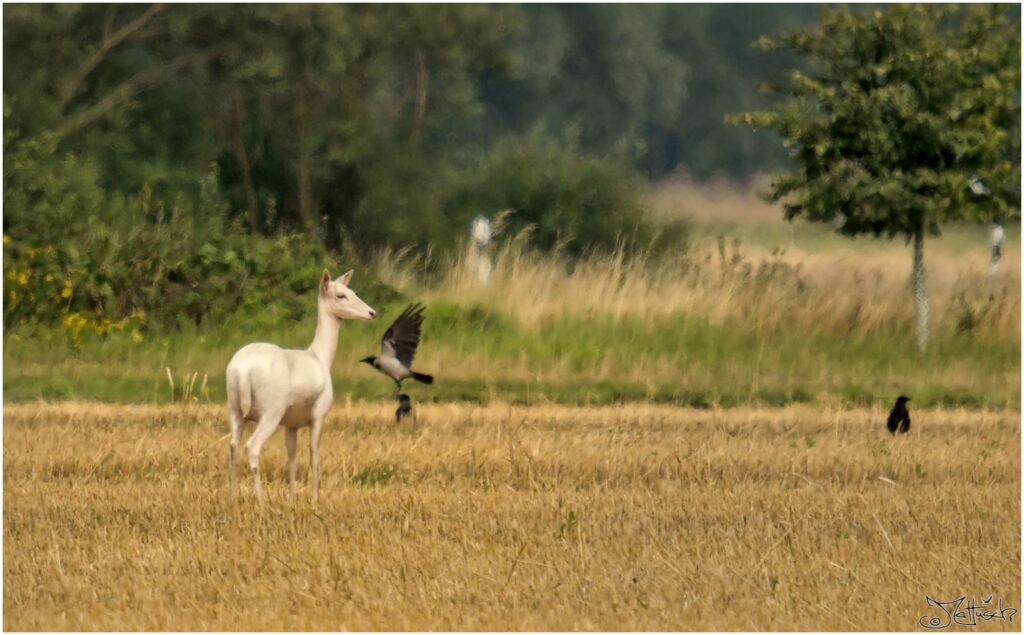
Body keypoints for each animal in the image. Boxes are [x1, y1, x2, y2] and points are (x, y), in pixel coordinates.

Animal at [226, 268, 378, 501]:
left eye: (352, 291)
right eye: (341, 295)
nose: (372, 313)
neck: (320, 357)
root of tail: (243, 369)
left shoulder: (292, 424)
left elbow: (292, 459)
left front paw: (292, 499)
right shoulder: (319, 415)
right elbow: (314, 454)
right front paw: (314, 498)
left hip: (235, 411)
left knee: (233, 446)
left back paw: (233, 497)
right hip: (270, 413)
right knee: (251, 447)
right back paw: (261, 500)